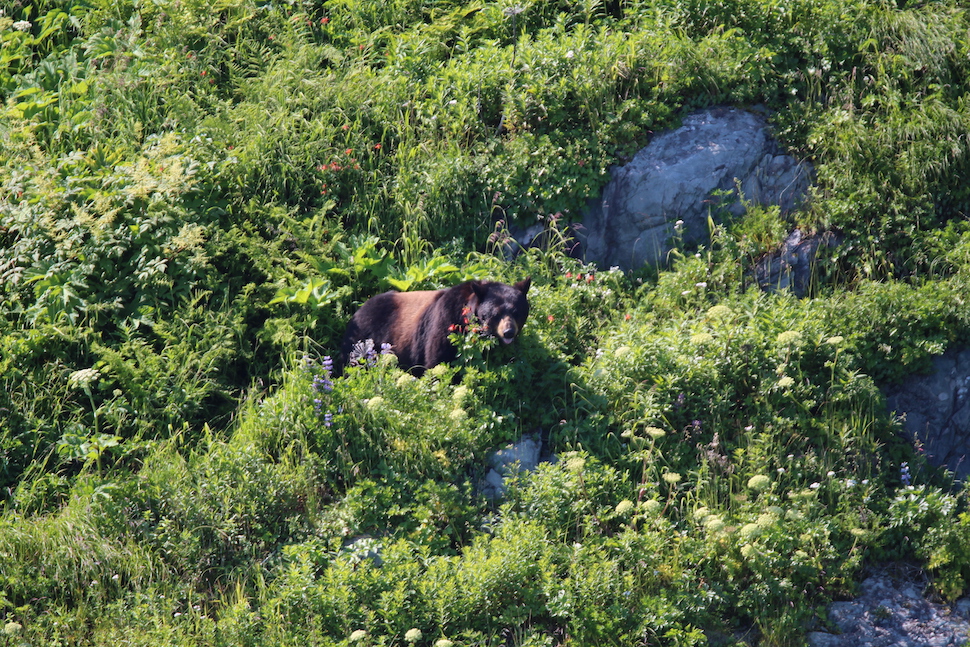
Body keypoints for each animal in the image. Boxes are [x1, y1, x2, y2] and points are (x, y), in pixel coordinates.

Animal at [340, 278, 532, 374]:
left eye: (516, 311)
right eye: (495, 313)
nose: (508, 332)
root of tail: (358, 311)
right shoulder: (444, 322)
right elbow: (437, 359)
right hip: (364, 340)